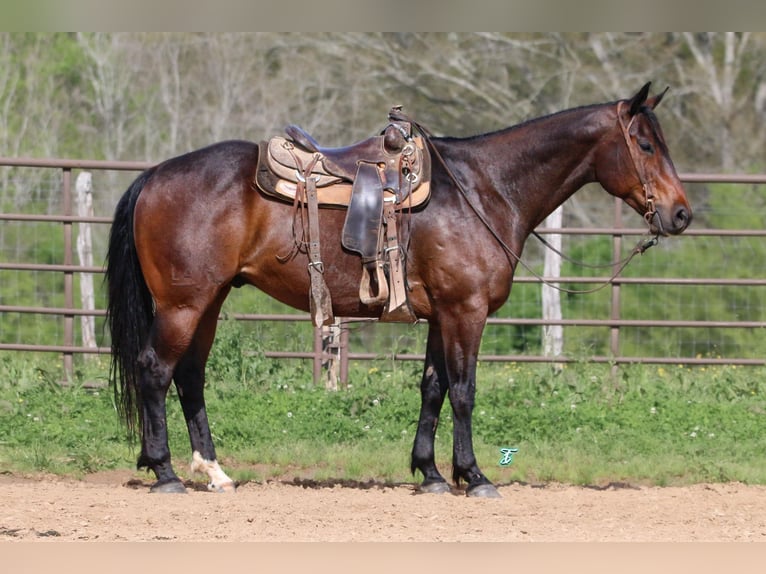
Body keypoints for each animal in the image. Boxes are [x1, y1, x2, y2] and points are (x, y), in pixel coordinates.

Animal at [106, 83, 688, 498]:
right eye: (644, 144)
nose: (680, 214)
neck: (483, 189)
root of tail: (153, 175)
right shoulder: (467, 311)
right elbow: (464, 391)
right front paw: (475, 477)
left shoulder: (442, 315)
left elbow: (433, 388)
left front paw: (430, 474)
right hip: (184, 304)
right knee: (155, 371)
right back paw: (165, 473)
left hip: (209, 301)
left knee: (190, 377)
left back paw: (214, 472)